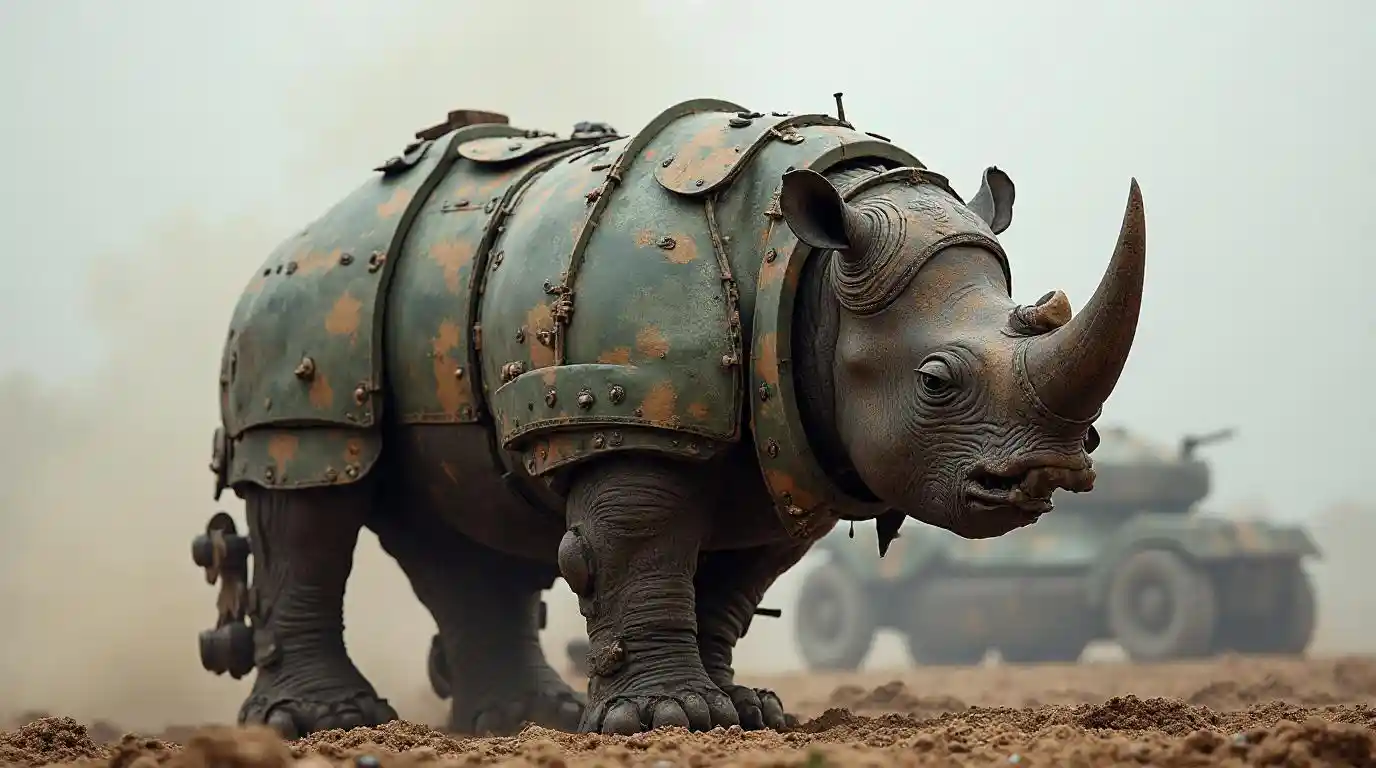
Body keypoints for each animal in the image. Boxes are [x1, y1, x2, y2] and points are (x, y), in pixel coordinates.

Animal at [191, 98, 1146, 737]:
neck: (805, 272)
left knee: (459, 527)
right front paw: (666, 720)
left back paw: (522, 720)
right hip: (307, 317)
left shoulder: (785, 429)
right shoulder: (628, 407)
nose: (1049, 472)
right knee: (314, 478)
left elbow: (735, 578)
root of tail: (303, 232)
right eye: (937, 382)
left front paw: (744, 713)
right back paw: (327, 726)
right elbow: (640, 542)